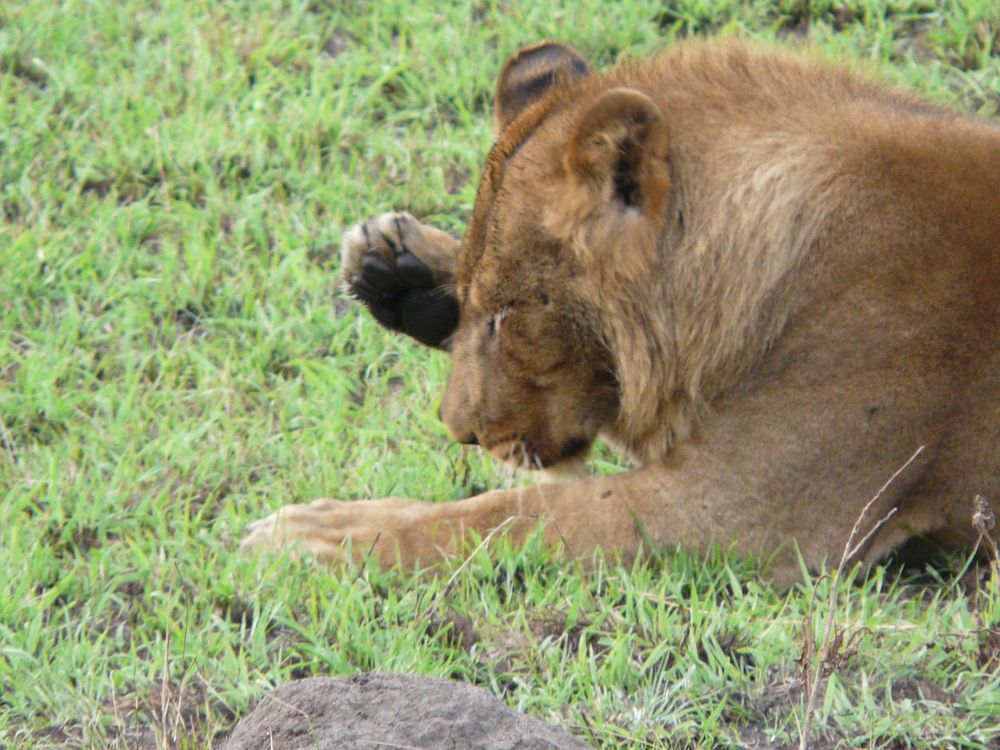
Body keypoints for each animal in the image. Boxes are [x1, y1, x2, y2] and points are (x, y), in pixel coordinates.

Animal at [244, 38, 1000, 584]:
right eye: (483, 309)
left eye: (508, 318)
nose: (460, 432)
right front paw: (401, 267)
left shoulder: (748, 515)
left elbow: (515, 512)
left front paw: (324, 532)